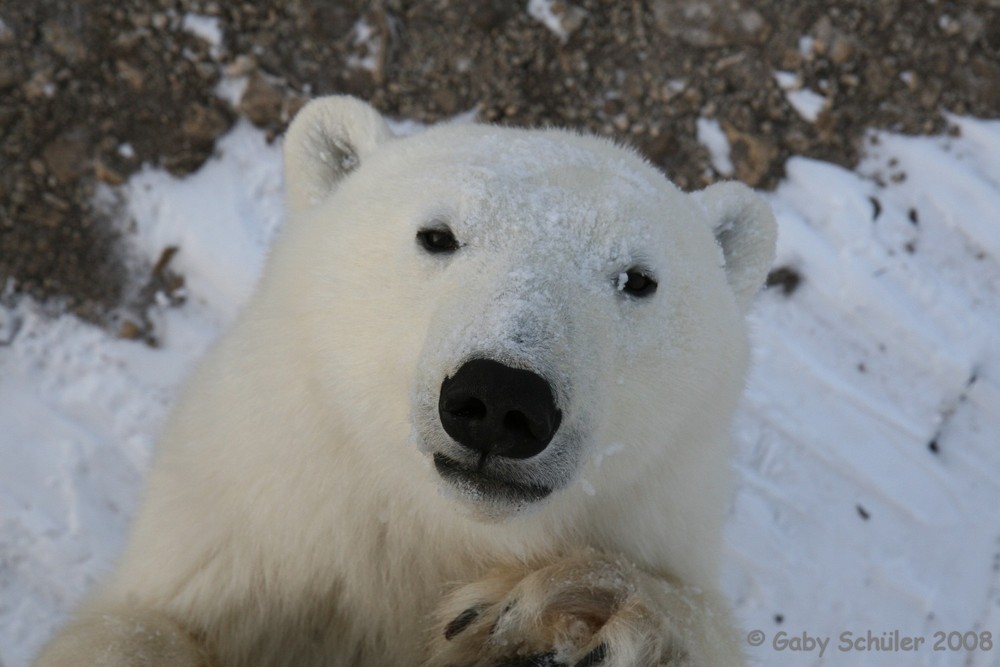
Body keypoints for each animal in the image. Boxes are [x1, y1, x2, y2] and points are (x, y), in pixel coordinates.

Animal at [37, 95, 772, 667]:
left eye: (638, 279)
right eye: (437, 236)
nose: (501, 399)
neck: (430, 528)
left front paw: (568, 614)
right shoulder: (249, 538)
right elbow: (139, 625)